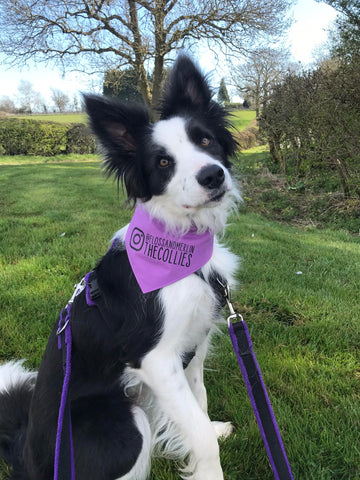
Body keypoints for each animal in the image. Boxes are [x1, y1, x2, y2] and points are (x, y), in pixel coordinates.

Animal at [2, 57, 242, 480]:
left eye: (205, 141)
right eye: (163, 162)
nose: (213, 175)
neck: (180, 246)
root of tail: (24, 457)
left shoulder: (193, 344)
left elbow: (199, 403)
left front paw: (206, 437)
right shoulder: (156, 360)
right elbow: (198, 432)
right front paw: (208, 469)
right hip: (125, 424)